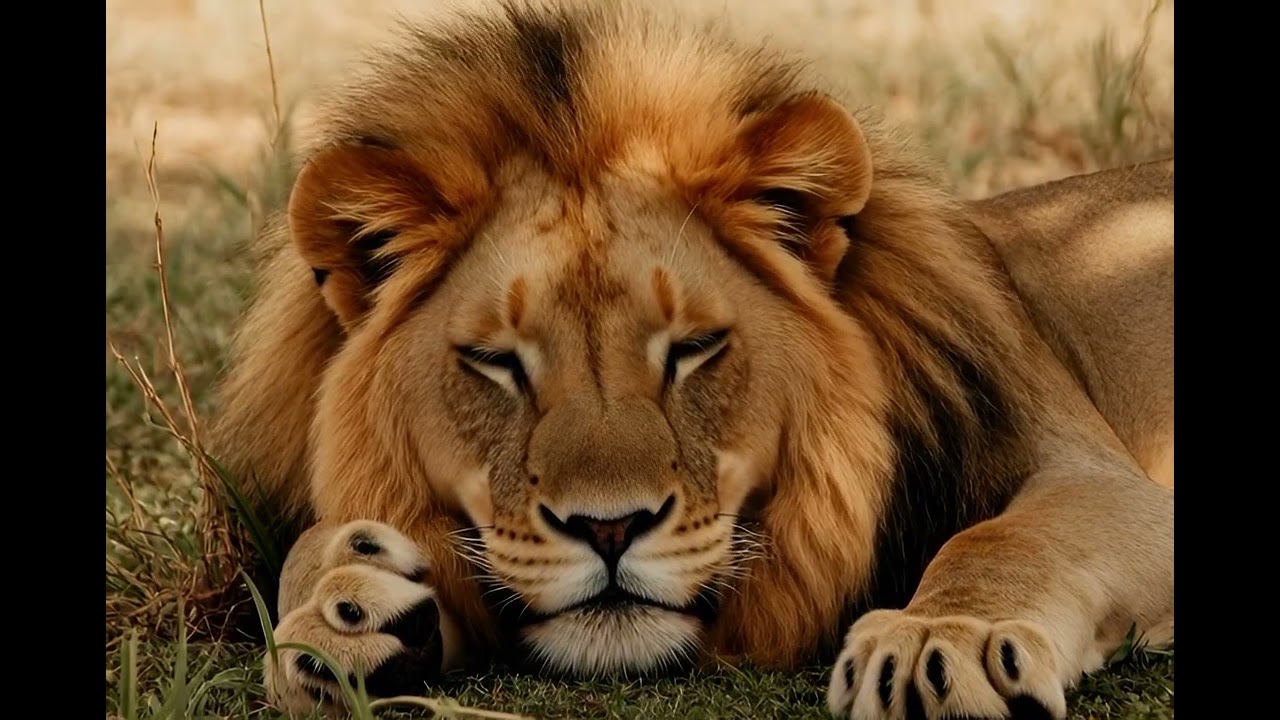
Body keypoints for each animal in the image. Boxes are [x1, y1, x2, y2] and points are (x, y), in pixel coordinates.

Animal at [208, 2, 1174, 718]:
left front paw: (939, 641)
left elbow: (1003, 539)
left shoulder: (1094, 472)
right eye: (496, 362)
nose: (609, 529)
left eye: (694, 350)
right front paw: (335, 611)